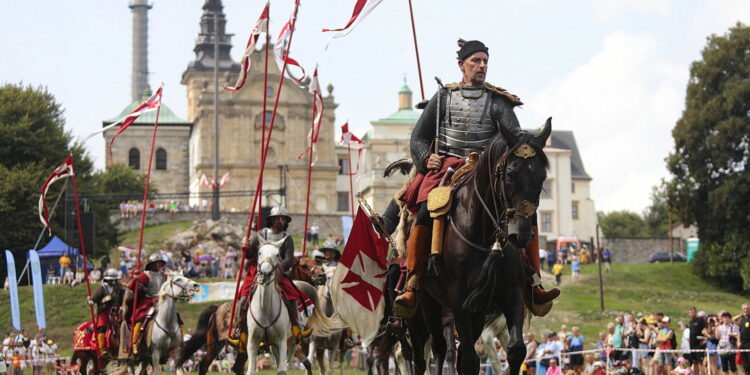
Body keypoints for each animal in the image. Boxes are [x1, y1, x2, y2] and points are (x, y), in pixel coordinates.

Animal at [247, 239, 294, 374]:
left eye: (277, 254)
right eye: (259, 252)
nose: (265, 273)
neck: (265, 310)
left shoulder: (282, 340)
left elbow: (282, 370)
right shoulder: (253, 341)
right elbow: (250, 370)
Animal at [418, 119, 552, 375]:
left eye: (542, 177)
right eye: (510, 174)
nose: (520, 235)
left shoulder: (510, 293)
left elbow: (516, 350)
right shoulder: (458, 300)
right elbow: (470, 360)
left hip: (478, 312)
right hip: (429, 304)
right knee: (436, 351)